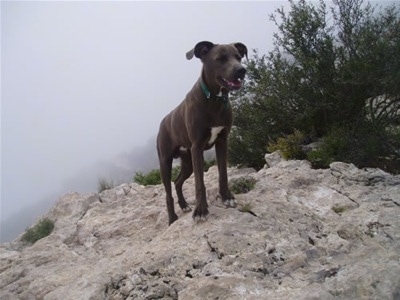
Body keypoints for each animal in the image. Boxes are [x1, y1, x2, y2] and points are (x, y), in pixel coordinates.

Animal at [156, 40, 247, 225]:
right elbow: (200, 183)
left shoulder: (222, 141)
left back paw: (184, 205)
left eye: (238, 57)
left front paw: (227, 197)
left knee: (177, 182)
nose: (242, 70)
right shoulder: (197, 147)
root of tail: (161, 124)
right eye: (220, 58)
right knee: (168, 192)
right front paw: (201, 210)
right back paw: (172, 218)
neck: (214, 98)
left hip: (187, 161)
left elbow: (223, 173)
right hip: (165, 162)